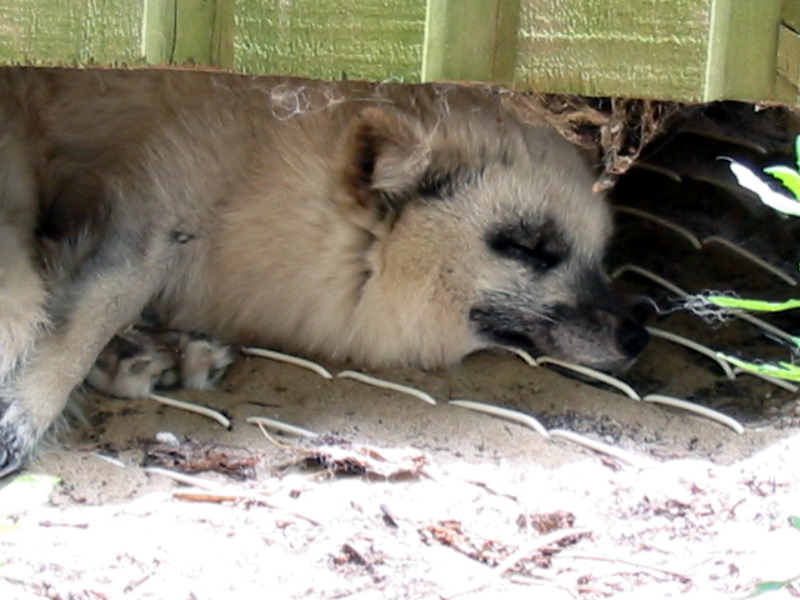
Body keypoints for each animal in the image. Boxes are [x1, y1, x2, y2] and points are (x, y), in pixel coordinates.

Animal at [0, 67, 648, 477]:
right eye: (529, 248)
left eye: (601, 255)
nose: (637, 336)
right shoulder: (153, 217)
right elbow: (83, 322)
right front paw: (29, 408)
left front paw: (152, 352)